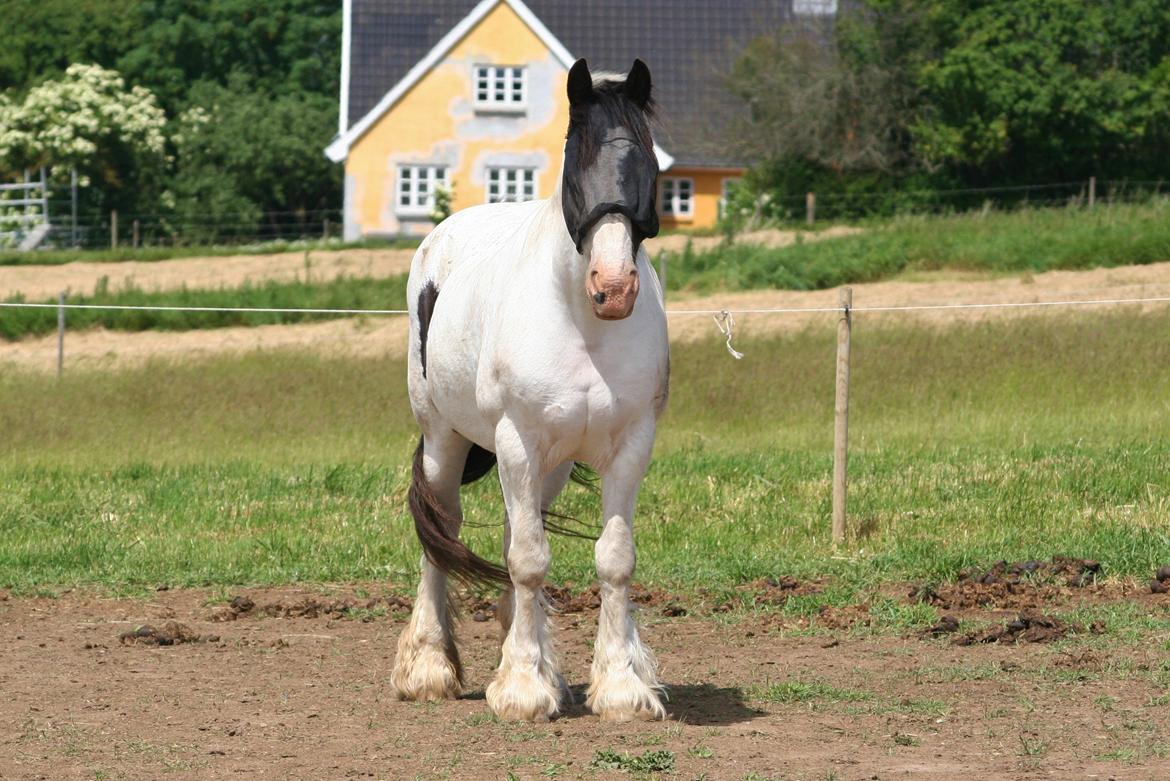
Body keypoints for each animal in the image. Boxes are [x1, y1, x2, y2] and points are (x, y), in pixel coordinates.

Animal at [393, 57, 669, 724]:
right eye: (575, 159)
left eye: (647, 162)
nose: (614, 287)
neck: (584, 325)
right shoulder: (516, 440)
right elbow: (525, 560)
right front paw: (520, 688)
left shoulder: (630, 445)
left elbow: (613, 559)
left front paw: (619, 685)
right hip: (445, 441)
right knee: (441, 530)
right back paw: (430, 668)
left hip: (550, 465)